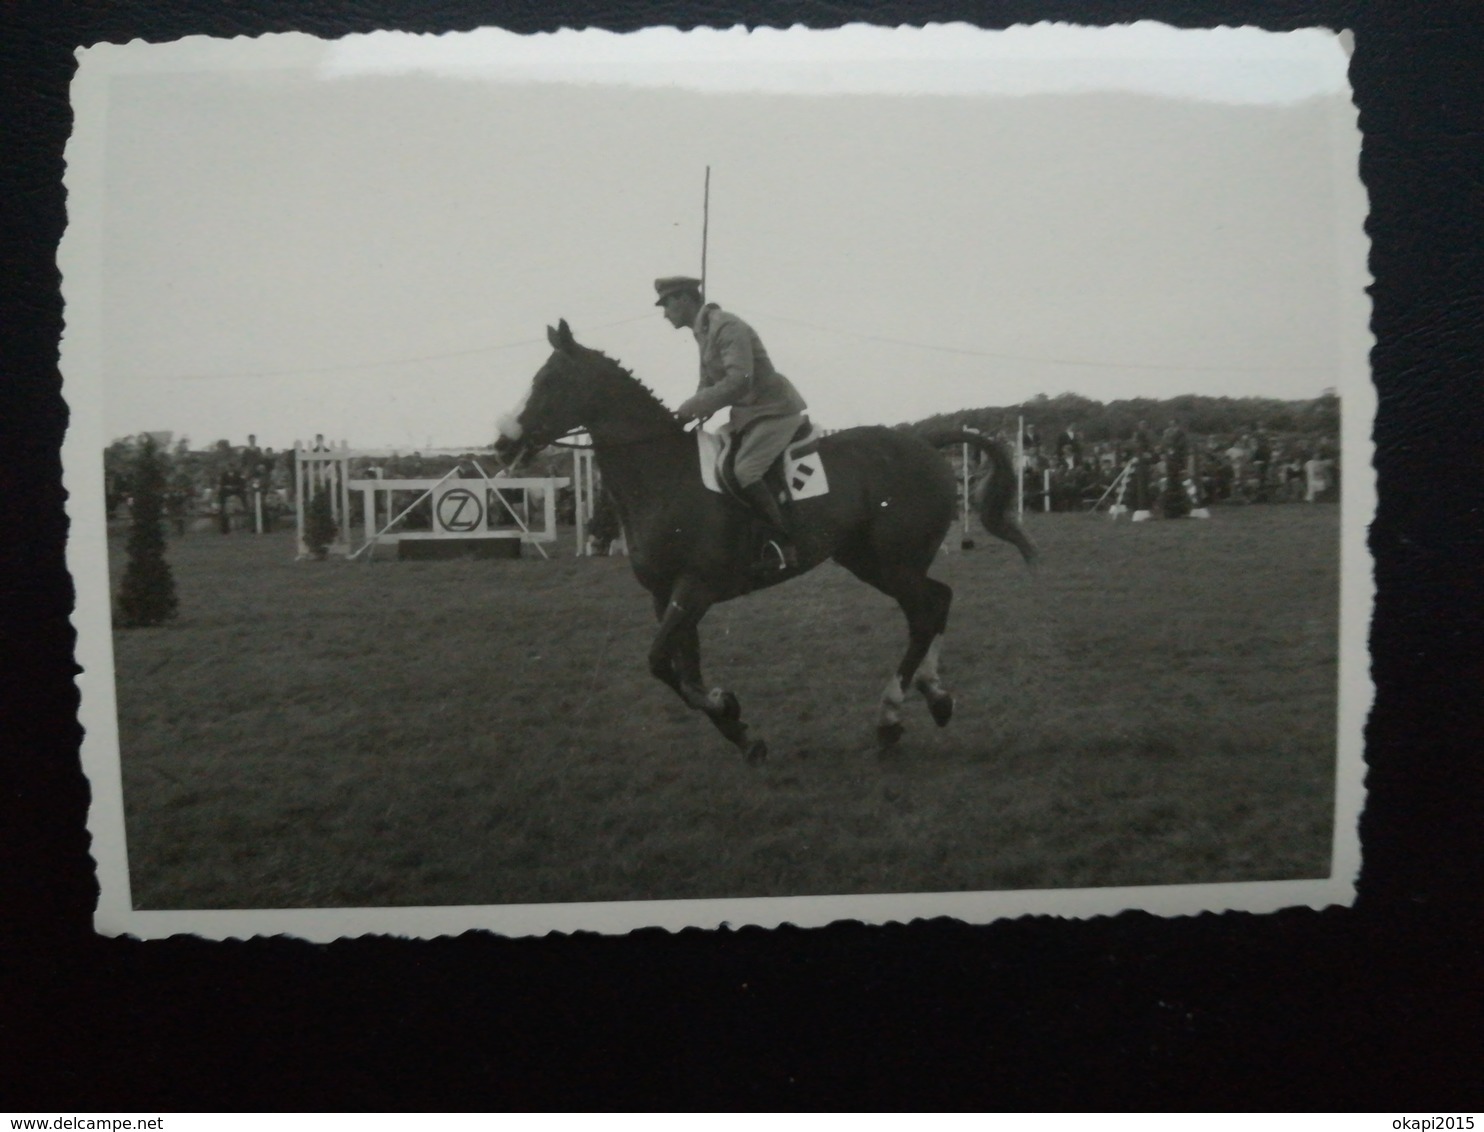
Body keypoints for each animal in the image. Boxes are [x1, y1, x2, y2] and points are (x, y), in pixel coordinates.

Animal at [492, 318, 1038, 759]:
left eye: (548, 381)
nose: (502, 443)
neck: (663, 475)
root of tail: (925, 443)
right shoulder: (667, 597)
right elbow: (682, 672)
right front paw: (739, 730)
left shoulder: (693, 590)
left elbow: (660, 663)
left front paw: (727, 707)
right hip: (871, 562)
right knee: (935, 602)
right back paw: (934, 695)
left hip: (895, 562)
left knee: (925, 613)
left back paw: (890, 717)